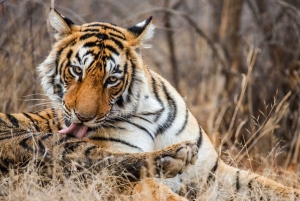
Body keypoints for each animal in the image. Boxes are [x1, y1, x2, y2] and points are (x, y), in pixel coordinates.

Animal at [0, 7, 298, 199]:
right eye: (76, 71)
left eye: (112, 79)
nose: (83, 117)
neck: (150, 112)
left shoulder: (213, 174)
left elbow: (271, 187)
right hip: (28, 140)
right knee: (99, 161)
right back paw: (174, 156)